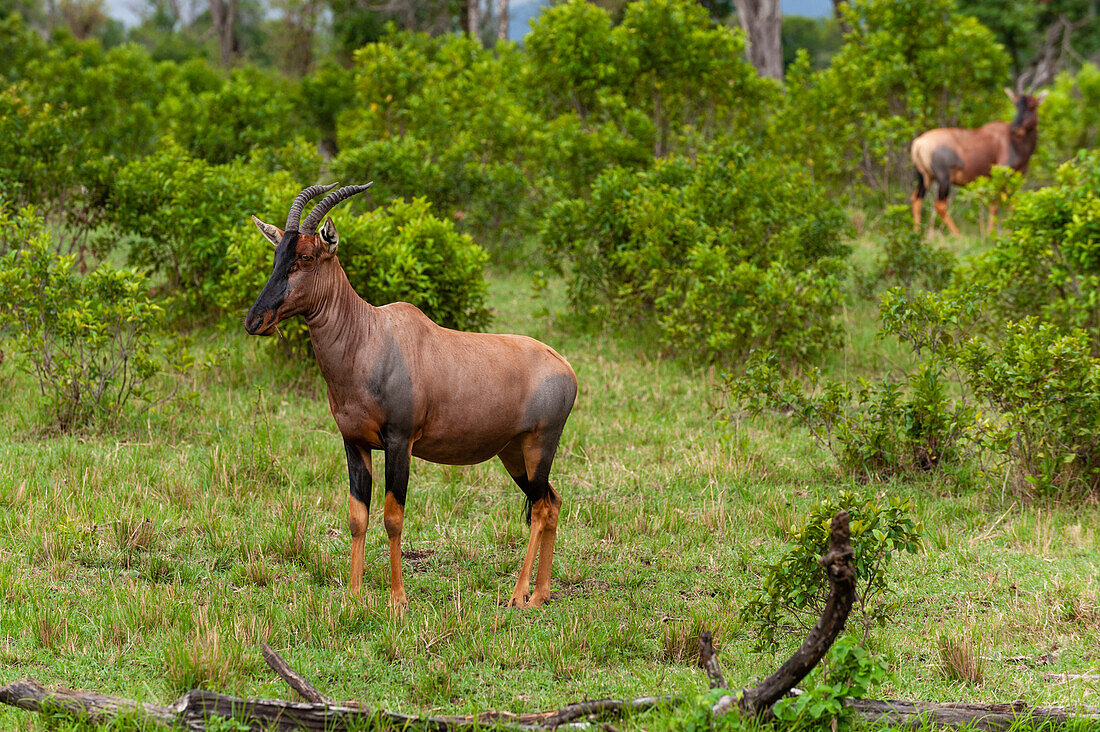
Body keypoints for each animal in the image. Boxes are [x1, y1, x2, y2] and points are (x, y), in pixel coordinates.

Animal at [246, 183, 580, 612]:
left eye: (305, 256)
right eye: (277, 255)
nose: (255, 320)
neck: (370, 335)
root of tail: (564, 366)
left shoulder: (399, 441)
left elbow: (393, 517)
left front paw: (397, 600)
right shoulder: (354, 442)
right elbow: (357, 516)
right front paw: (353, 596)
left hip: (540, 446)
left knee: (539, 507)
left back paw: (520, 594)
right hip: (513, 453)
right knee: (552, 502)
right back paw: (541, 593)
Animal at [910, 88, 1047, 234]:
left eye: (1032, 106)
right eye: (1017, 105)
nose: (1015, 129)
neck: (1012, 141)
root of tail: (918, 143)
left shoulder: (1017, 176)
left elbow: (1012, 202)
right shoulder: (999, 174)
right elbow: (995, 203)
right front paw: (990, 234)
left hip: (925, 178)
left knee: (916, 198)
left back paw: (916, 233)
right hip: (943, 179)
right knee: (939, 205)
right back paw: (958, 235)